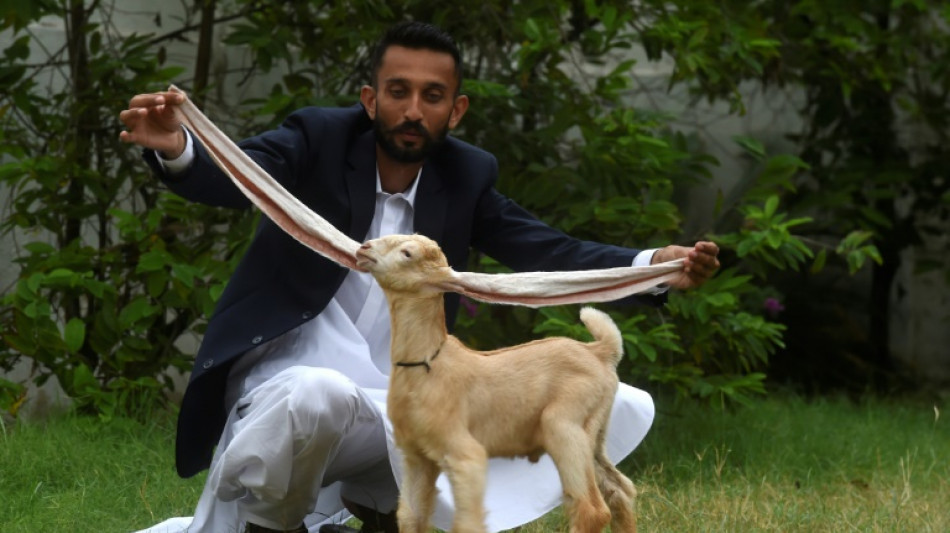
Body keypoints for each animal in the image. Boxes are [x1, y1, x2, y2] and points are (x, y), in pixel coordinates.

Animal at [356, 234, 638, 533]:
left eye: (407, 254)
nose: (364, 249)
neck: (428, 363)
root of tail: (600, 351)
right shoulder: (417, 457)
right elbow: (412, 517)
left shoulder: (465, 455)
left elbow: (467, 523)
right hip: (593, 432)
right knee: (620, 490)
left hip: (564, 425)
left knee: (591, 509)